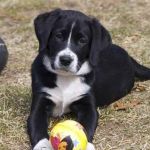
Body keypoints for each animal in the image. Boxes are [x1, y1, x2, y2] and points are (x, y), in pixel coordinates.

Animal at [27, 8, 150, 149]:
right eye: (58, 36)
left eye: (82, 40)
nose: (65, 60)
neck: (66, 78)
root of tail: (129, 56)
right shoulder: (40, 103)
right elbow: (37, 126)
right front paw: (43, 145)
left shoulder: (88, 106)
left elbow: (86, 126)